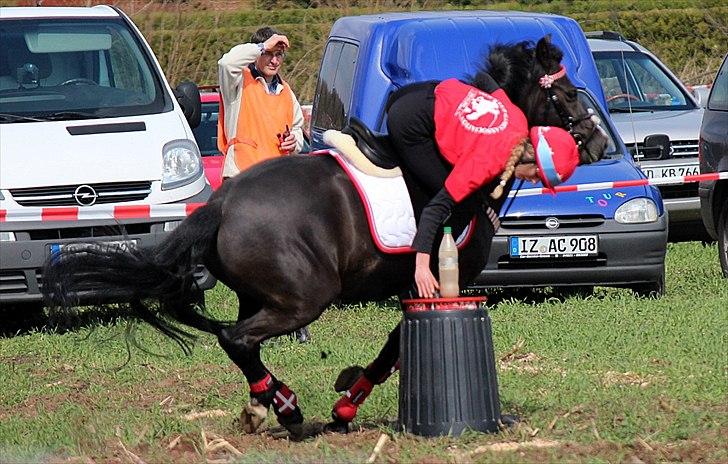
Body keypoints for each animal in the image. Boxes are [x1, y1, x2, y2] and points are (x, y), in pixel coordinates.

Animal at [41, 37, 608, 438]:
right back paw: (286, 408)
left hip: (258, 293)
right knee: (236, 337)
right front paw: (346, 402)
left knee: (238, 338)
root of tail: (224, 202)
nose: (599, 142)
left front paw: (344, 394)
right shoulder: (431, 281)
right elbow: (395, 346)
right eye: (565, 94)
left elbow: (396, 344)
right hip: (306, 296)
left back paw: (269, 402)